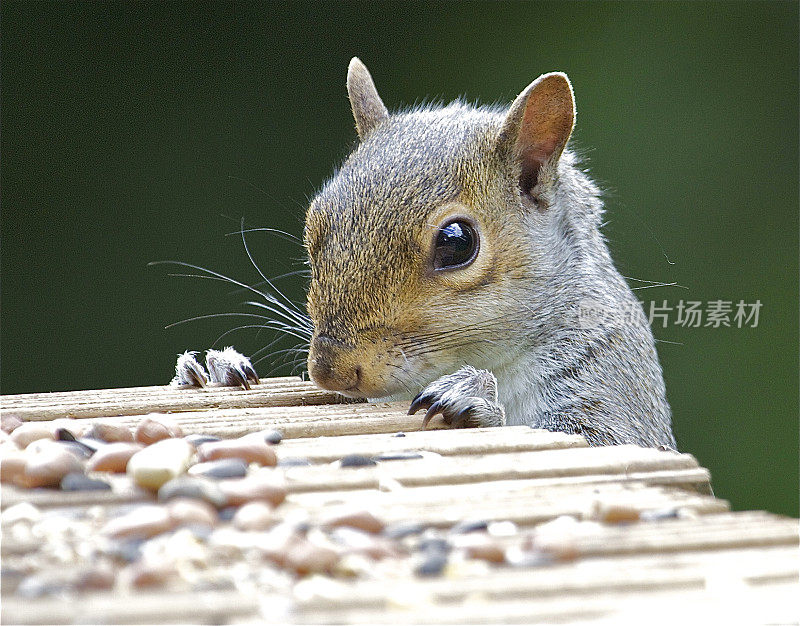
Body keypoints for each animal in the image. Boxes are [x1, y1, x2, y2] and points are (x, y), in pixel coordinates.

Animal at [175, 58, 676, 448]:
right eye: (314, 224)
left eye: (457, 242)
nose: (331, 372)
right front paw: (218, 368)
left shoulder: (611, 376)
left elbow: (602, 438)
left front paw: (474, 399)